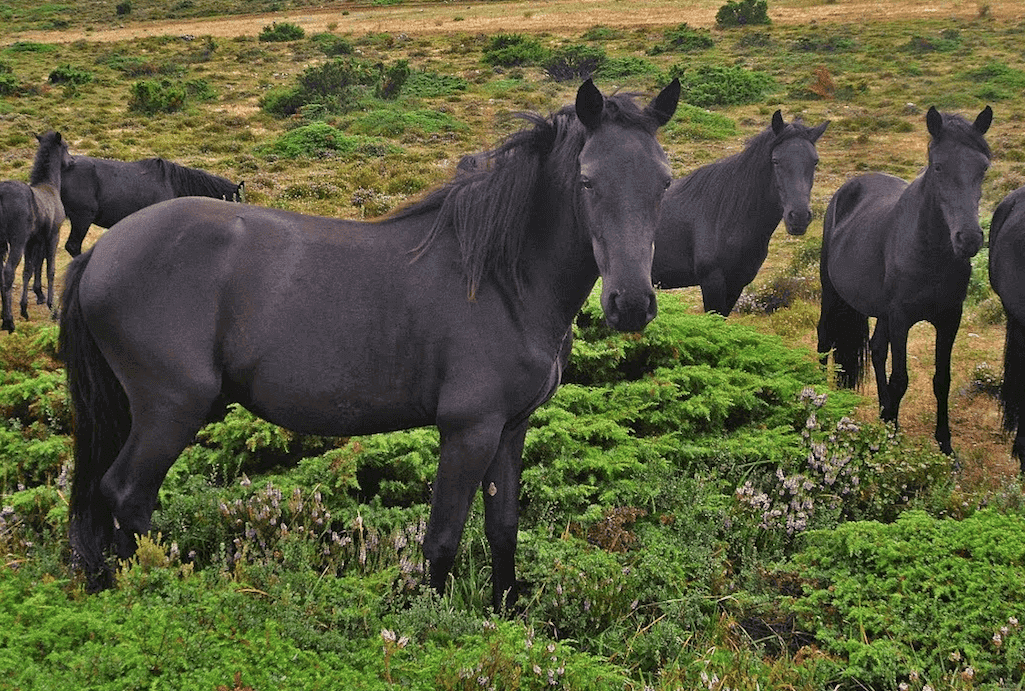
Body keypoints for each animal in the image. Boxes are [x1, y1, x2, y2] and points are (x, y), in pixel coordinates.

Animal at [0, 131, 69, 332]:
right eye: (66, 147)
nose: (71, 161)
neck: (49, 186)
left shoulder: (34, 241)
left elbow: (30, 269)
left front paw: (25, 308)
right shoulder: (53, 236)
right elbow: (50, 269)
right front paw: (52, 308)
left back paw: (4, 316)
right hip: (16, 242)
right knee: (8, 273)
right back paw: (9, 321)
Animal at [651, 110, 829, 315]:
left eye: (815, 161)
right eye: (776, 161)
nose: (799, 217)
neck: (728, 215)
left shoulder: (736, 284)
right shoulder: (713, 282)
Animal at [817, 105, 992, 456]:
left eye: (983, 168)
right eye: (938, 166)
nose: (968, 239)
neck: (929, 251)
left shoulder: (949, 318)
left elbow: (941, 380)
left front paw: (945, 445)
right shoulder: (901, 318)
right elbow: (901, 378)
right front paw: (892, 440)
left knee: (875, 349)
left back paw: (885, 412)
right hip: (830, 291)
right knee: (824, 338)